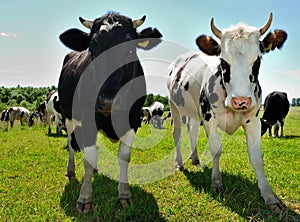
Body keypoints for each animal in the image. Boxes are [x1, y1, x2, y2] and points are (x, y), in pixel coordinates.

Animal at [57, 11, 163, 212]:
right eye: (92, 50)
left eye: (130, 50)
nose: (108, 101)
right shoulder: (87, 121)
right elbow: (88, 157)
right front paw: (84, 198)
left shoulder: (133, 120)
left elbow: (124, 157)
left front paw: (124, 195)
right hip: (68, 116)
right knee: (71, 145)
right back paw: (70, 170)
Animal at [168, 12, 288, 210]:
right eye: (223, 61)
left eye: (258, 60)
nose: (241, 101)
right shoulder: (209, 119)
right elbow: (216, 150)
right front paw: (216, 183)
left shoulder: (254, 121)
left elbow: (257, 158)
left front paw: (269, 195)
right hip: (174, 106)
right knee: (177, 133)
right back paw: (179, 163)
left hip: (194, 113)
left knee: (192, 131)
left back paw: (194, 158)